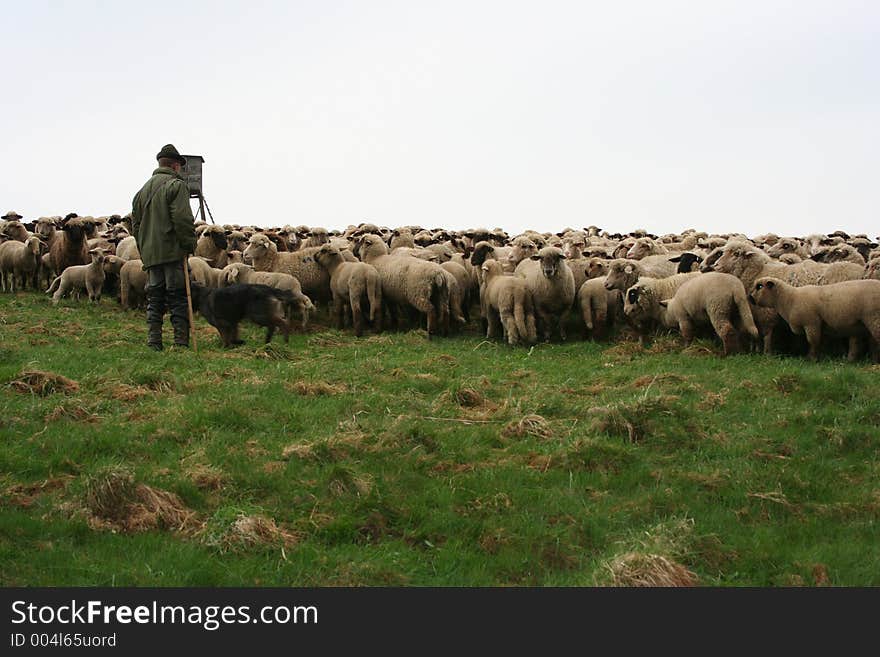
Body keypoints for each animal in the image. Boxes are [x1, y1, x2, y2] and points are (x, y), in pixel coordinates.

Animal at [752, 276, 880, 362]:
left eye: (759, 287)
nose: (749, 297)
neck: (790, 299)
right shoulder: (819, 325)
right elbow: (819, 342)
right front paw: (818, 357)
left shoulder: (811, 323)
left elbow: (812, 342)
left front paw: (811, 359)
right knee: (871, 342)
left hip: (874, 318)